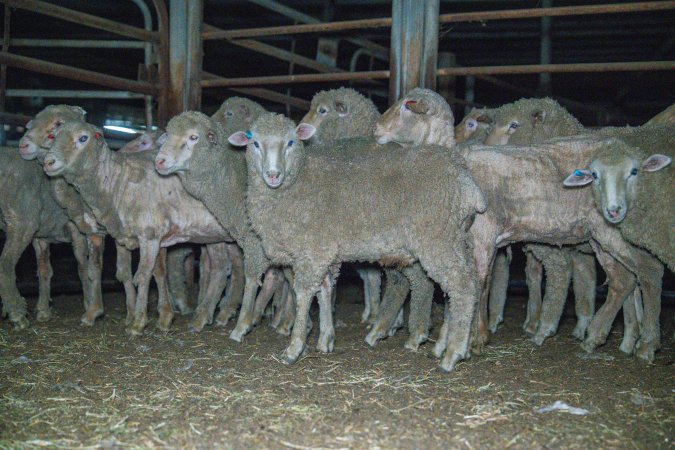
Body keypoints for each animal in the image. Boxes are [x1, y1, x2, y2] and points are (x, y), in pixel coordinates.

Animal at [0, 146, 76, 328]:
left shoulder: (41, 237)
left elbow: (44, 269)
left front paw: (43, 311)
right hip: (22, 222)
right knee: (6, 263)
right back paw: (17, 314)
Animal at [44, 121, 235, 336]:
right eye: (54, 136)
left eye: (83, 138)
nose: (48, 162)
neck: (118, 181)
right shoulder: (142, 237)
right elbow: (146, 273)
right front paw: (160, 318)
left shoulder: (150, 234)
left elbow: (143, 275)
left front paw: (138, 323)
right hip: (214, 235)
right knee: (221, 268)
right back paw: (202, 319)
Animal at [154, 110, 290, 340]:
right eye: (168, 134)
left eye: (193, 137)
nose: (159, 161)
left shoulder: (255, 239)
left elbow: (251, 277)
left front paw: (241, 324)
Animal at [230, 113, 488, 372]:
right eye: (255, 143)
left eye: (291, 142)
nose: (273, 174)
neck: (296, 182)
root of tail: (468, 181)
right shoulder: (325, 253)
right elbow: (325, 290)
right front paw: (325, 340)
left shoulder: (312, 251)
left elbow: (303, 294)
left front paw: (294, 347)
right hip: (456, 238)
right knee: (466, 283)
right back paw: (443, 344)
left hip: (438, 239)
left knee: (462, 287)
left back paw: (452, 354)